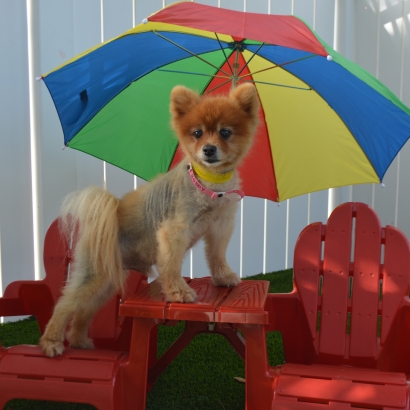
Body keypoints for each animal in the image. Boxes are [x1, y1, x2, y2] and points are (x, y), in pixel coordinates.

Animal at [40, 82, 262, 356]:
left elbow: (217, 255)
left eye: (225, 132)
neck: (210, 184)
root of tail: (110, 214)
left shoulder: (220, 226)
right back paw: (51, 343)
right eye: (197, 133)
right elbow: (171, 266)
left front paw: (223, 278)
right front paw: (178, 292)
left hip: (106, 282)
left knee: (83, 311)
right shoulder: (173, 231)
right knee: (64, 305)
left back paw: (80, 341)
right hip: (95, 273)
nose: (208, 149)